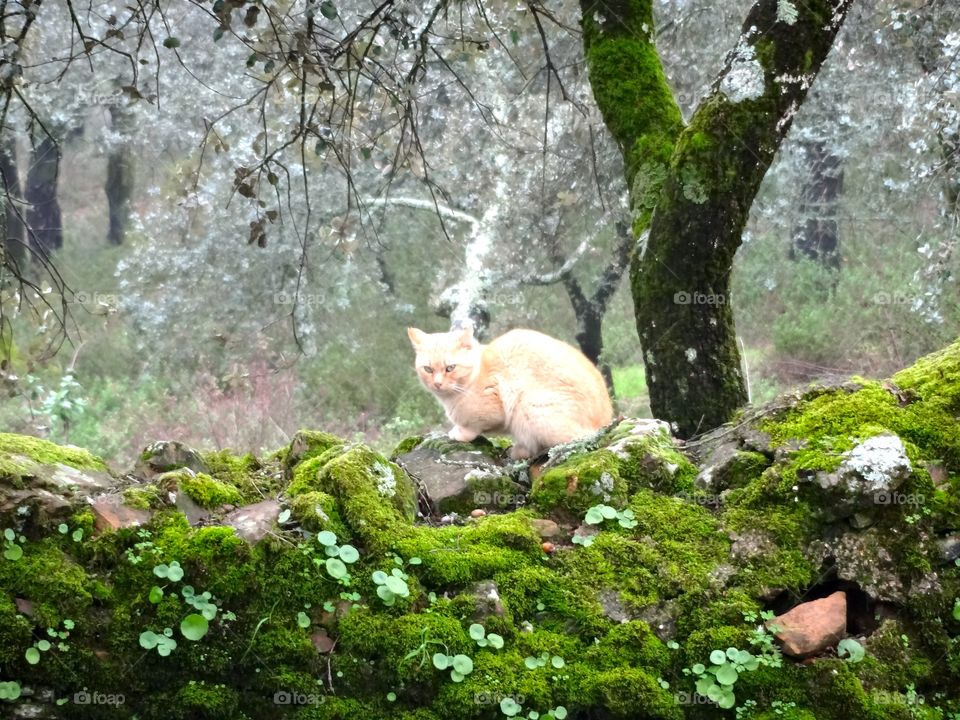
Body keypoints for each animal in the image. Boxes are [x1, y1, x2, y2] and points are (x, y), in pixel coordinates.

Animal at [408, 324, 612, 458]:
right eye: (428, 369)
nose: (437, 383)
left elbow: (472, 426)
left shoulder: (492, 408)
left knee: (569, 441)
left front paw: (459, 433)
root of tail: (606, 422)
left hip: (529, 407)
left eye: (450, 368)